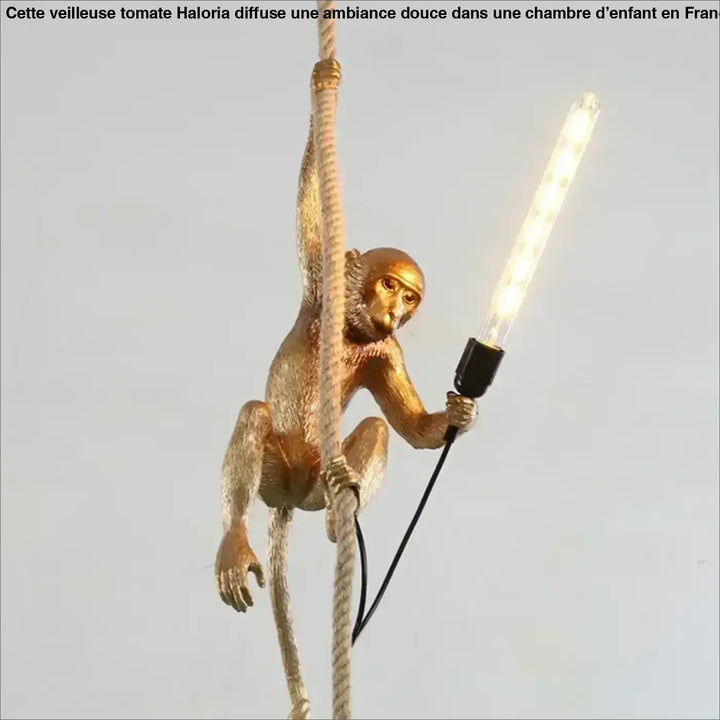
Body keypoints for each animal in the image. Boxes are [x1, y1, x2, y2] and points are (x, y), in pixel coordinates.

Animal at [214, 118, 477, 718]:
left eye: (410, 298)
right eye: (389, 284)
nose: (396, 310)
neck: (354, 332)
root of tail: (288, 500)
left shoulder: (388, 352)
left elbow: (408, 427)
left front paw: (459, 412)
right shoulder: (321, 280)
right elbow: (311, 208)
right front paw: (323, 96)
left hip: (308, 483)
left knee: (375, 431)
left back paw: (342, 509)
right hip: (275, 473)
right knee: (255, 414)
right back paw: (236, 545)